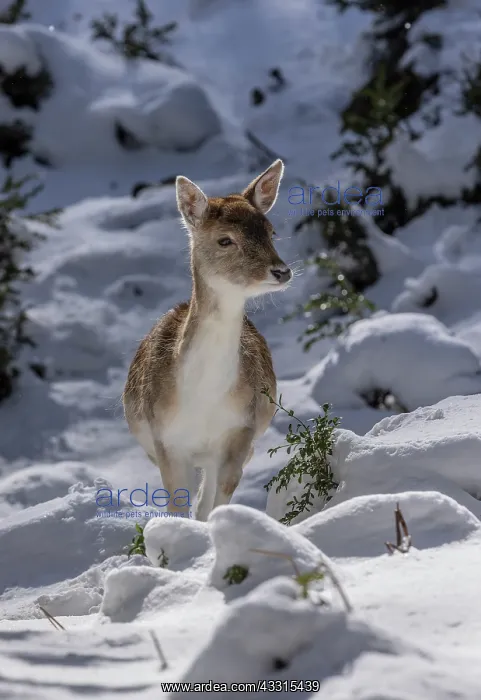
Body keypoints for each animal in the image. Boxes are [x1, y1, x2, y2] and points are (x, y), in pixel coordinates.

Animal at [122, 159, 292, 521]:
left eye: (271, 232)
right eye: (224, 240)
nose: (281, 271)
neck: (202, 398)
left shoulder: (240, 429)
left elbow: (215, 499)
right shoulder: (166, 439)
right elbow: (177, 503)